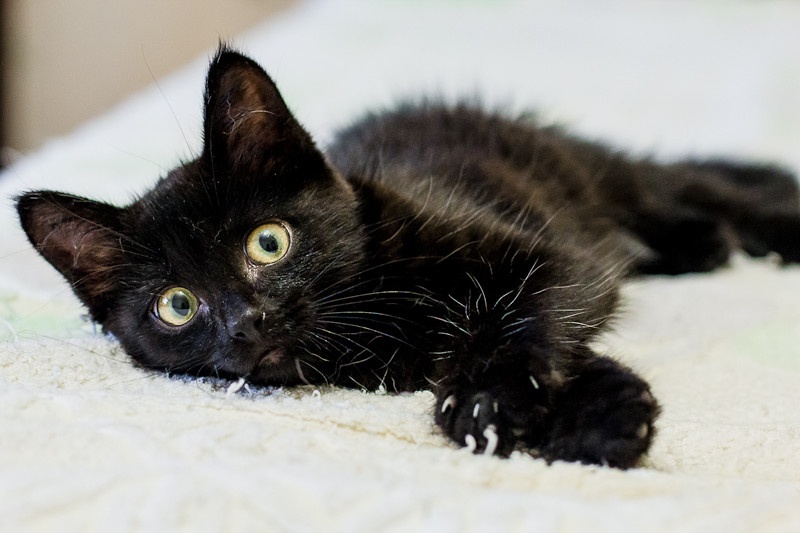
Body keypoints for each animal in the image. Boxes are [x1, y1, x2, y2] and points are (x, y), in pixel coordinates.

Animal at [16, 46, 800, 468]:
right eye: (177, 305)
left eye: (268, 241)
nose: (247, 321)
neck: (367, 327)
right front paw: (601, 413)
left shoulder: (548, 253)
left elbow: (528, 313)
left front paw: (492, 399)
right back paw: (702, 246)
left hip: (598, 177)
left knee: (686, 188)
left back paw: (730, 231)